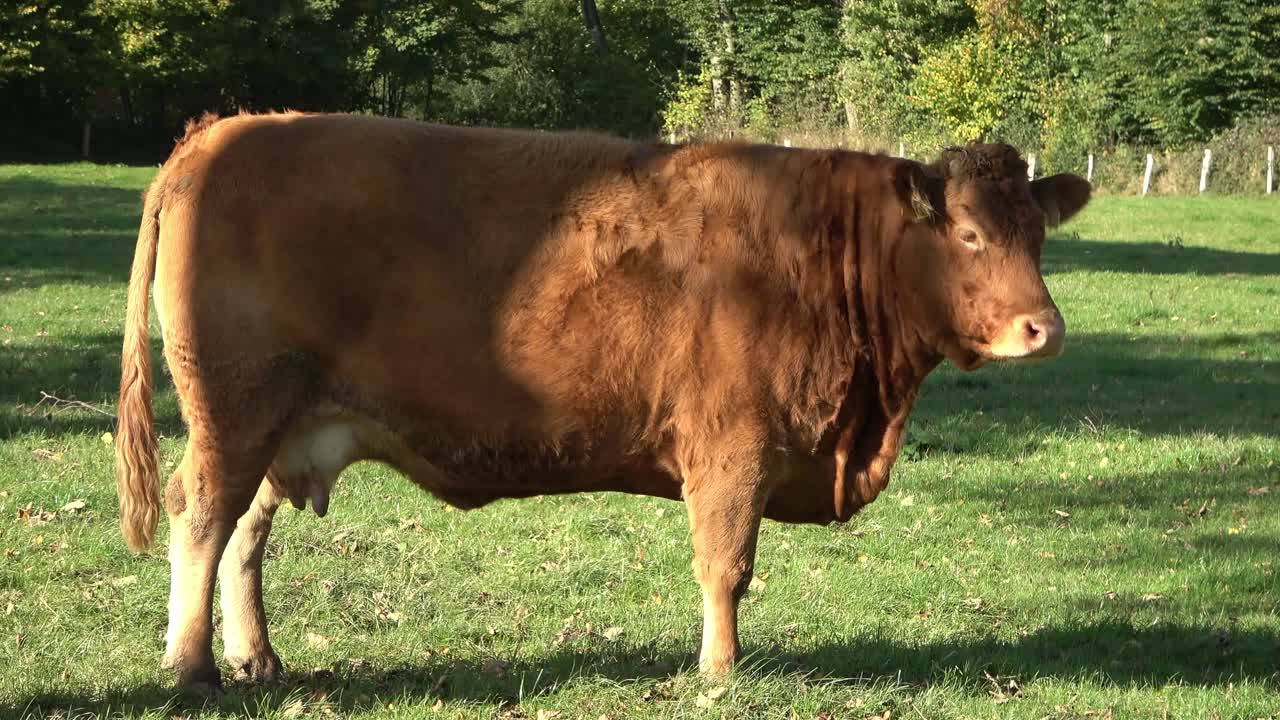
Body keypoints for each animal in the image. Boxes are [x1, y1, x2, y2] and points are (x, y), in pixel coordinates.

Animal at [115, 110, 1090, 681]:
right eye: (969, 234)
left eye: (1038, 234)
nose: (1043, 328)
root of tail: (217, 133)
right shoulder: (734, 447)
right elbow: (726, 566)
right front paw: (721, 672)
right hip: (235, 410)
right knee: (201, 514)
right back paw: (190, 668)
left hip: (286, 425)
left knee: (242, 532)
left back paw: (255, 657)